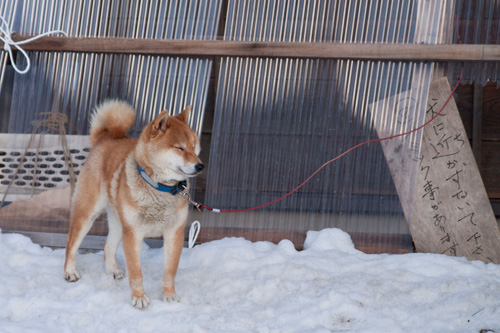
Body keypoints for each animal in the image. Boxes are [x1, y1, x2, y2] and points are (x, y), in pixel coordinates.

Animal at [65, 100, 205, 308]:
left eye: (194, 147)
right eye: (179, 148)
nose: (200, 165)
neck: (160, 188)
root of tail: (104, 137)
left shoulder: (174, 234)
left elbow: (170, 272)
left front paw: (169, 295)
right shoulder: (133, 234)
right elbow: (136, 272)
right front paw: (139, 297)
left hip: (118, 221)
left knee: (108, 244)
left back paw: (112, 269)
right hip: (87, 214)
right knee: (72, 242)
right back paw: (70, 272)